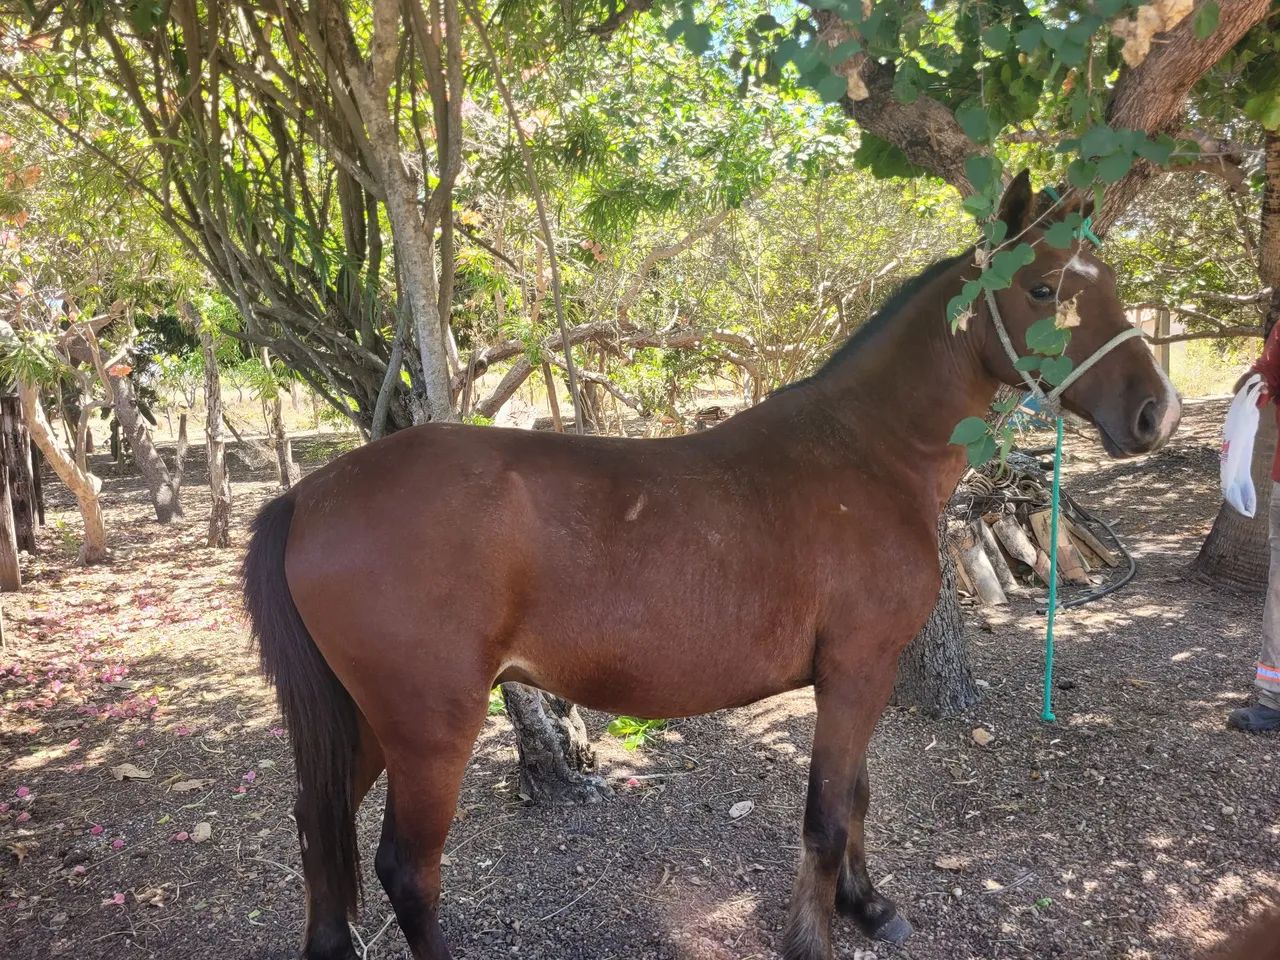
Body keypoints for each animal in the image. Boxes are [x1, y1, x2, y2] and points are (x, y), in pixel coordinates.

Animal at [242, 171, 1181, 960]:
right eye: (1043, 289)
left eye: (1111, 281)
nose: (1154, 412)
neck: (869, 452)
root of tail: (312, 494)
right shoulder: (856, 670)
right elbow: (827, 814)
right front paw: (814, 935)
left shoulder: (862, 673)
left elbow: (857, 798)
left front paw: (868, 906)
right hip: (430, 728)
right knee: (405, 869)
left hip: (365, 721)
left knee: (317, 830)